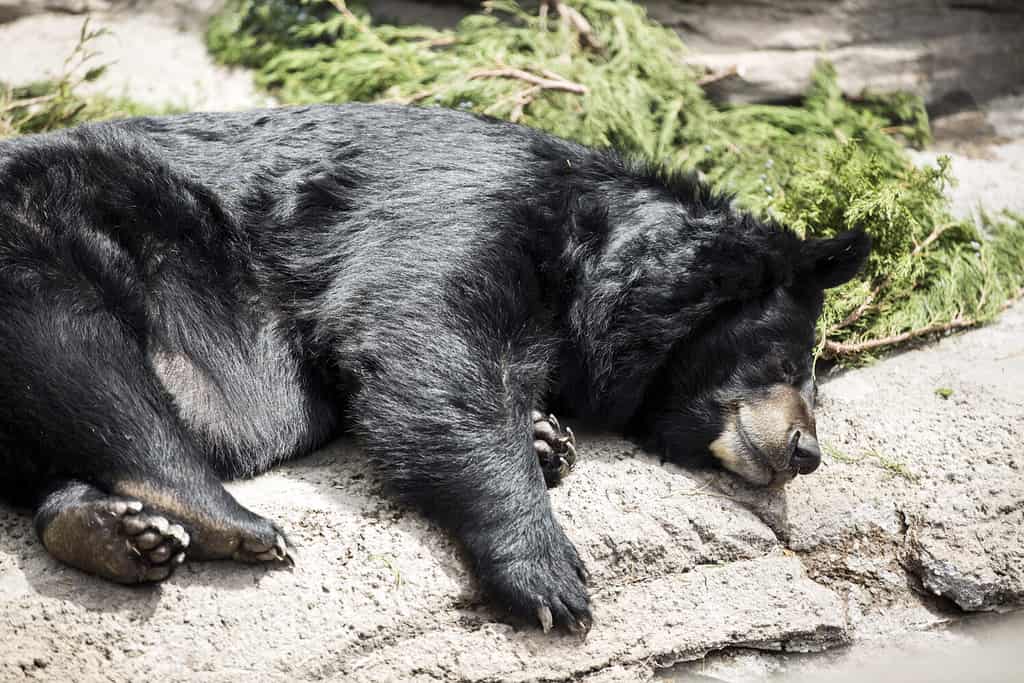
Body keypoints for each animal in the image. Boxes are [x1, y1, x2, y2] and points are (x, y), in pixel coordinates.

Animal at [0, 103, 869, 634]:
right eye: (789, 357)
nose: (805, 450)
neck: (589, 250)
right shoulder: (468, 208)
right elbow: (424, 337)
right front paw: (550, 577)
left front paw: (548, 436)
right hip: (43, 245)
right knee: (85, 363)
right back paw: (232, 522)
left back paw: (120, 532)